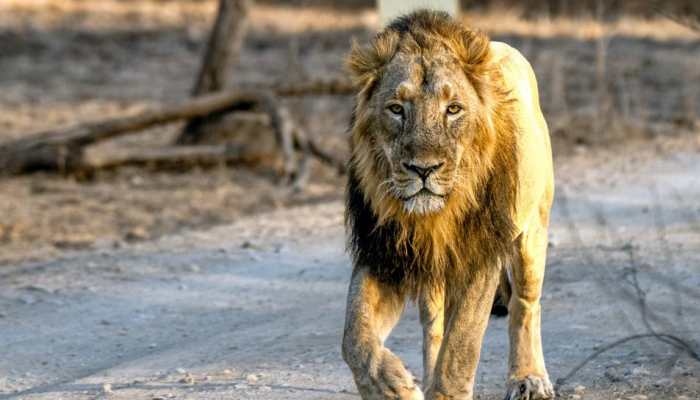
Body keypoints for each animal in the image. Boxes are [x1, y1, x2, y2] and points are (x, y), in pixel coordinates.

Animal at [342, 10, 555, 400]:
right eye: (396, 109)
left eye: (453, 109)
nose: (423, 169)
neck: (435, 216)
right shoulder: (382, 253)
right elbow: (355, 337)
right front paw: (391, 386)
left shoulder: (481, 254)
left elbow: (461, 346)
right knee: (433, 326)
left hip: (531, 231)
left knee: (524, 305)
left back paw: (528, 378)